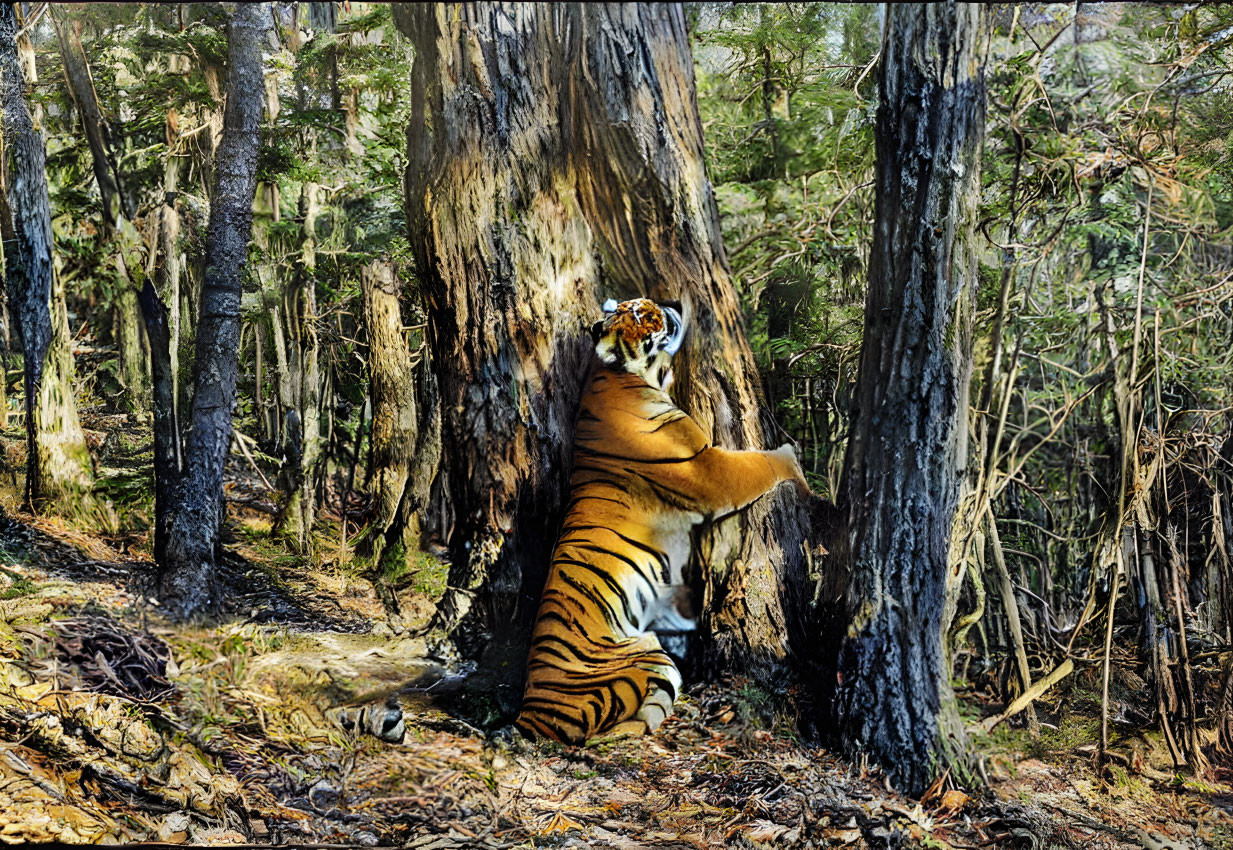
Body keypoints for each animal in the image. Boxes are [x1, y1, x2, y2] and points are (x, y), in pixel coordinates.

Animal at [515, 297, 813, 740]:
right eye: (641, 314)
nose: (670, 303)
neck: (623, 376)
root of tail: (527, 714)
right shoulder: (707, 469)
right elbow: (761, 463)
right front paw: (796, 462)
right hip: (645, 654)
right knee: (628, 724)